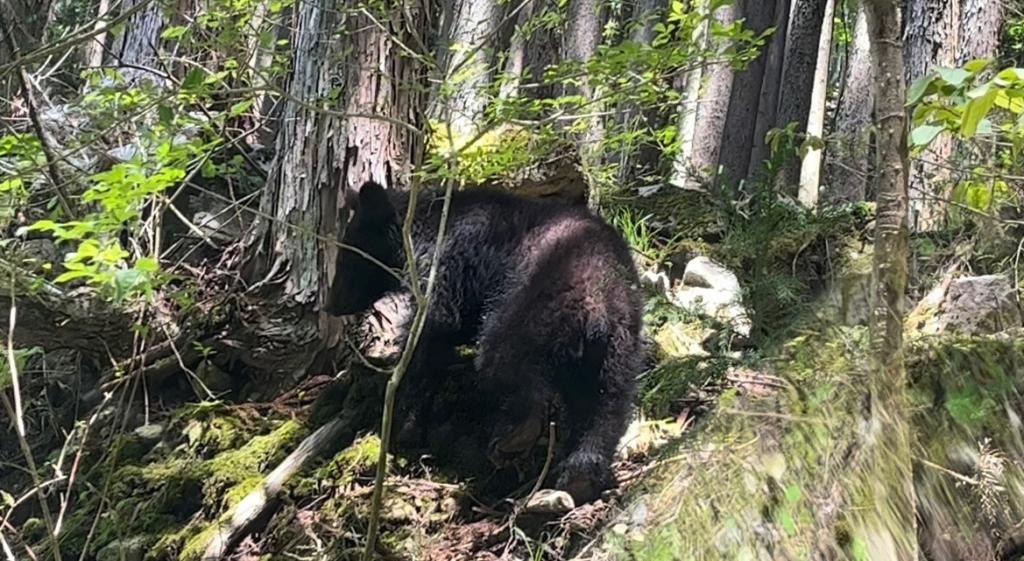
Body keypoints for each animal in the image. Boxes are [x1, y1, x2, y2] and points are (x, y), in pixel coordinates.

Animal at [323, 181, 643, 503]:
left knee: (507, 359)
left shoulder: (445, 264)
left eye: (347, 256)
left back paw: (515, 434)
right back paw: (581, 473)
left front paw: (406, 421)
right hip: (618, 343)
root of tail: (598, 300)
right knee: (606, 402)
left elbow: (433, 329)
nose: (330, 303)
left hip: (528, 302)